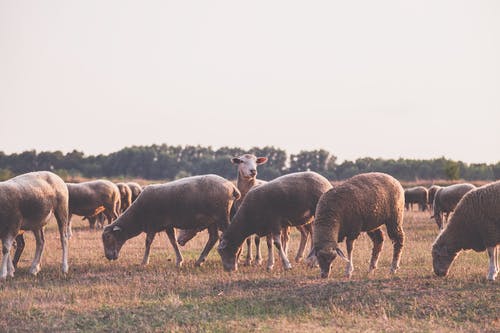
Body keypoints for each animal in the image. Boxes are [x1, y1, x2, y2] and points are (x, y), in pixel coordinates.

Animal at [101, 175, 240, 266]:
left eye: (108, 237)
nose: (108, 257)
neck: (137, 215)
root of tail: (231, 186)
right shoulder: (167, 225)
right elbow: (173, 242)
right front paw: (179, 261)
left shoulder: (152, 225)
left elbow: (148, 242)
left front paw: (144, 262)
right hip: (212, 220)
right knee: (213, 238)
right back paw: (199, 261)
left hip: (221, 216)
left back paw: (236, 257)